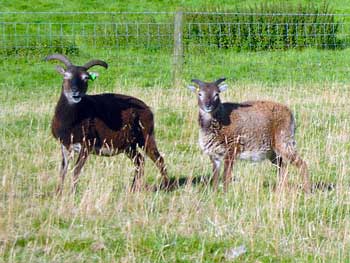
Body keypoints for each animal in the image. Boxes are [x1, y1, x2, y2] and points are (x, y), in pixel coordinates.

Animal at [45, 54, 169, 194]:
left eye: (86, 78)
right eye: (66, 76)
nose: (75, 93)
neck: (71, 122)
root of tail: (147, 109)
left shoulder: (86, 145)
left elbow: (76, 170)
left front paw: (72, 193)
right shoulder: (65, 145)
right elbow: (62, 171)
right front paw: (58, 194)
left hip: (146, 137)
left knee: (158, 159)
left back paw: (166, 186)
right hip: (128, 145)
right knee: (140, 161)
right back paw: (133, 189)